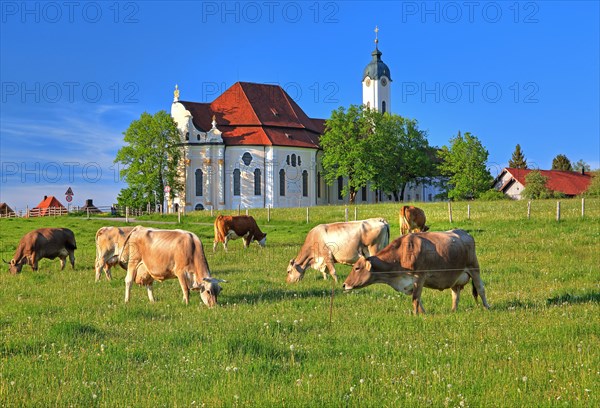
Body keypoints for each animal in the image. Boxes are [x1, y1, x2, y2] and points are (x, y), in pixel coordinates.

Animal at [344, 230, 490, 312]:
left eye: (357, 268)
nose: (344, 285)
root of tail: (464, 233)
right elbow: (418, 299)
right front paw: (423, 314)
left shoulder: (420, 277)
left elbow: (415, 299)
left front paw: (415, 315)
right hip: (454, 277)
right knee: (455, 294)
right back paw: (453, 311)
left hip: (474, 268)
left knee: (480, 289)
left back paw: (487, 307)